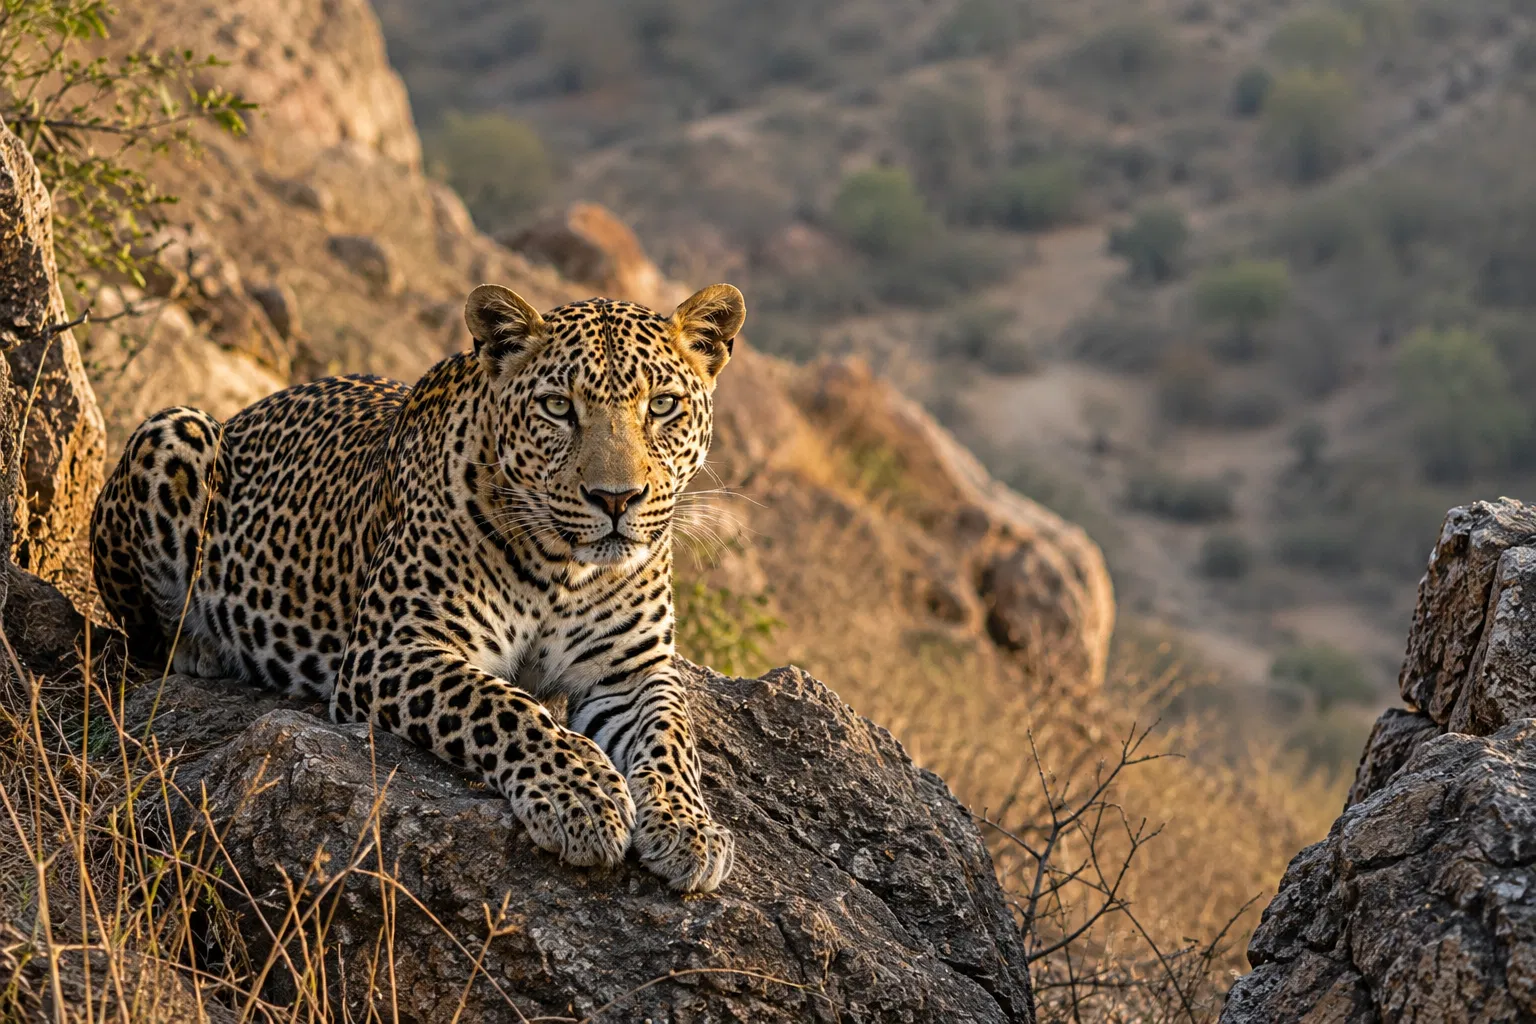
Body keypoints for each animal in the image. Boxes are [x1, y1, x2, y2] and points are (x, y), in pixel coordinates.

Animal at [89, 283, 747, 892]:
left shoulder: (633, 671)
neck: (564, 568)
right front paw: (580, 794)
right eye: (558, 407)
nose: (616, 499)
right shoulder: (392, 649)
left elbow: (671, 736)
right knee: (147, 635)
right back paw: (202, 647)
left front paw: (689, 828)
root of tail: (243, 412)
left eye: (662, 405)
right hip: (173, 429)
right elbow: (504, 705)